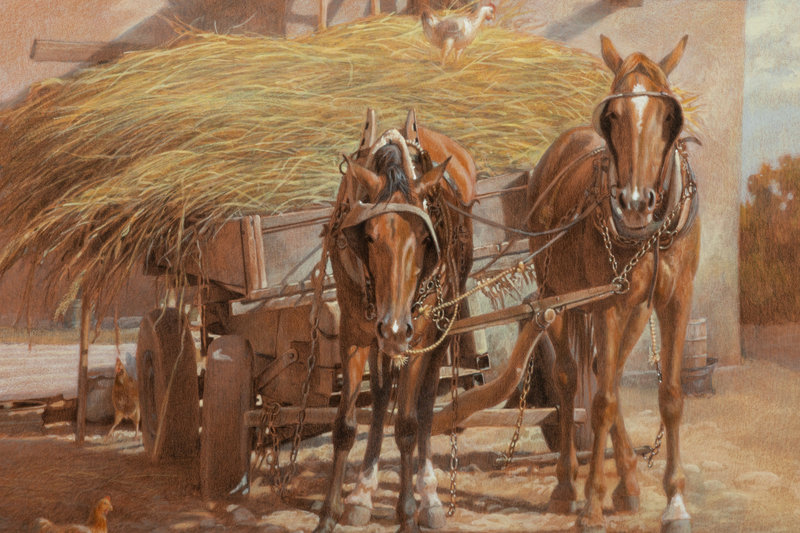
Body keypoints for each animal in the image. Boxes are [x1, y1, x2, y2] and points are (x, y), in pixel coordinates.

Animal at [314, 109, 477, 533]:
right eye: (369, 236)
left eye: (424, 238)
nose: (393, 327)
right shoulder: (355, 333)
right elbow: (345, 425)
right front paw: (329, 512)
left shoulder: (417, 336)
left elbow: (406, 425)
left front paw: (408, 513)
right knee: (383, 392)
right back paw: (363, 492)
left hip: (437, 328)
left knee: (425, 404)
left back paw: (430, 496)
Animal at [525, 35, 700, 532]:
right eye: (613, 115)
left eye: (667, 116)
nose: (636, 202)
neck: (651, 232)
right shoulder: (605, 305)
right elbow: (598, 400)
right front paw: (592, 503)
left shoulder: (674, 300)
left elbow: (670, 396)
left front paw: (674, 500)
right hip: (556, 299)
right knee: (570, 380)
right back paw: (567, 486)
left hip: (634, 310)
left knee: (611, 371)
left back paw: (627, 483)